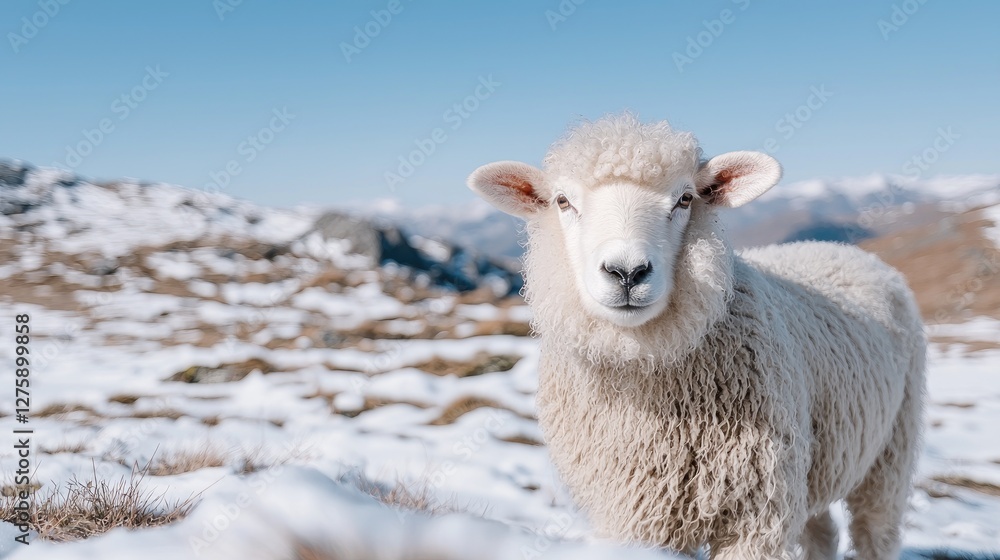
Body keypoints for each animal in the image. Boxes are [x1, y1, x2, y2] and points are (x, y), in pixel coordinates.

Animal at [466, 113, 925, 559]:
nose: (627, 272)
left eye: (685, 199)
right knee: (822, 532)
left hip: (890, 454)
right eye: (563, 201)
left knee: (875, 534)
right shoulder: (635, 514)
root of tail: (842, 250)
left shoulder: (757, 516)